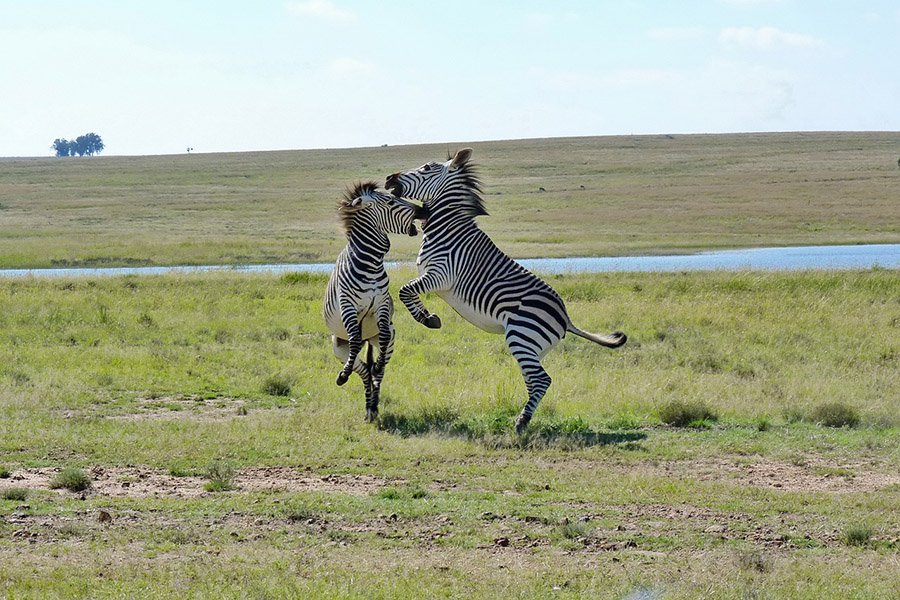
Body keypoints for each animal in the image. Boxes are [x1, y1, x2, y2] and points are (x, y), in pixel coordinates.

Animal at [322, 182, 419, 422]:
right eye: (391, 201)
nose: (424, 210)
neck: (371, 262)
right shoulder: (348, 306)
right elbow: (355, 340)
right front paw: (343, 375)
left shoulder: (381, 305)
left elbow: (382, 336)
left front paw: (378, 365)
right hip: (338, 347)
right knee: (363, 370)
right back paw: (367, 405)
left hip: (387, 338)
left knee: (377, 370)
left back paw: (373, 404)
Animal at [385, 149, 626, 433]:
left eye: (426, 168)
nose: (389, 178)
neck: (447, 229)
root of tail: (566, 318)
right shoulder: (433, 277)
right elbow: (407, 291)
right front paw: (427, 316)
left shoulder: (441, 275)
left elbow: (405, 291)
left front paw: (428, 319)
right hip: (532, 348)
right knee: (534, 381)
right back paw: (525, 418)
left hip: (521, 337)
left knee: (543, 380)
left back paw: (521, 422)